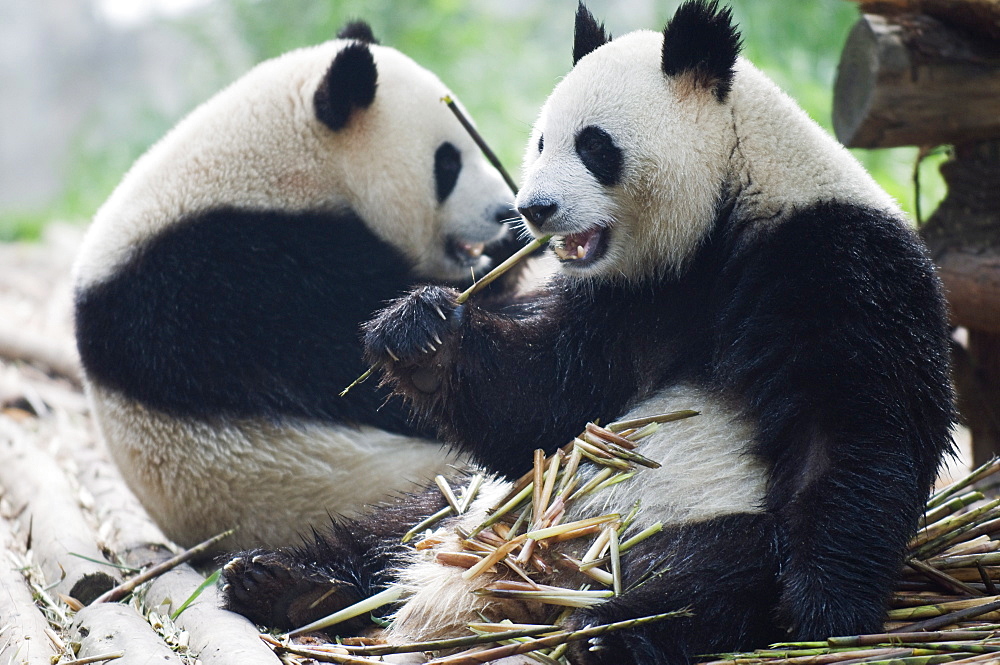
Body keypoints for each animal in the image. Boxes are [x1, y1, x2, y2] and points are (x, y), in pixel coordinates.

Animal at [219, 2, 952, 660]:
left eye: (594, 145)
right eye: (541, 140)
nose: (533, 208)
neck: (723, 211)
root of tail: (529, 575)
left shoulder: (831, 260)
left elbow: (854, 426)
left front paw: (821, 608)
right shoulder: (630, 297)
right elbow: (546, 405)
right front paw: (419, 330)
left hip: (677, 521)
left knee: (711, 572)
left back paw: (607, 633)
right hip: (474, 507)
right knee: (397, 524)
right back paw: (284, 580)